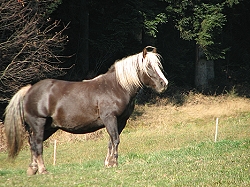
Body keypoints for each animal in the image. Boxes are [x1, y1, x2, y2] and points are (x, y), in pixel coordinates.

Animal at [3, 46, 168, 175]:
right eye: (149, 66)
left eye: (158, 65)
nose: (163, 83)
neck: (115, 87)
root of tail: (29, 90)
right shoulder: (110, 118)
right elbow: (115, 140)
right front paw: (114, 163)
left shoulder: (120, 121)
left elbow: (111, 141)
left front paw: (108, 163)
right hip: (39, 124)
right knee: (37, 144)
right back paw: (43, 170)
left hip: (49, 127)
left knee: (32, 144)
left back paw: (33, 169)